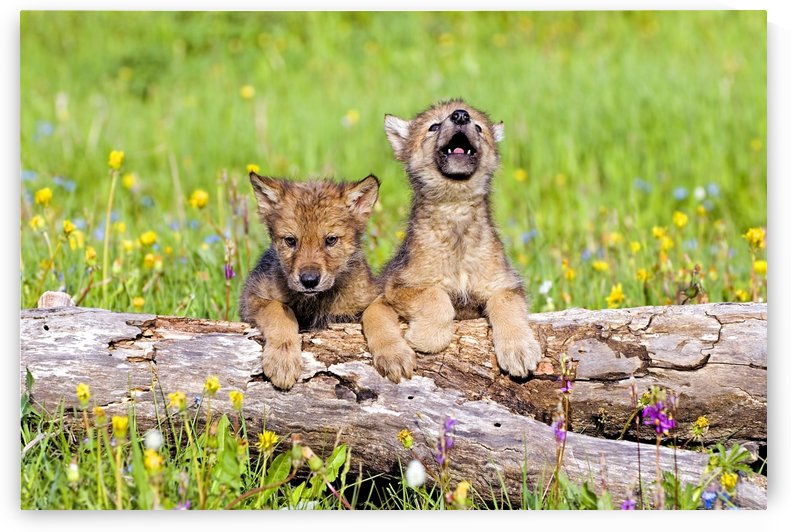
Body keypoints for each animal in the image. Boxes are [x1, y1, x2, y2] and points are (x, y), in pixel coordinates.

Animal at [240, 172, 380, 390]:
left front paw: (395, 355)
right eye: (290, 240)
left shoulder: (367, 297)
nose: (309, 280)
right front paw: (283, 360)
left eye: (330, 240)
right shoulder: (253, 297)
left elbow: (377, 311)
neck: (316, 303)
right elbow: (278, 310)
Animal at [361, 99, 543, 383]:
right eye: (434, 126)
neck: (456, 211)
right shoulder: (402, 286)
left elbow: (507, 306)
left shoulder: (505, 285)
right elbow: (436, 298)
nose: (460, 116)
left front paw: (520, 350)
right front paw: (427, 338)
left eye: (478, 127)